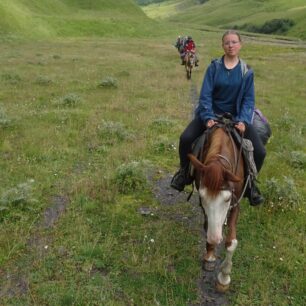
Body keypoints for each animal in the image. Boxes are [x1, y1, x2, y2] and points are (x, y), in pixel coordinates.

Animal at [188, 124, 245, 292]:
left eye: (227, 199)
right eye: (202, 196)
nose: (215, 238)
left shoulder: (235, 203)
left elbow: (231, 243)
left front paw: (224, 278)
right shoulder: (204, 207)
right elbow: (207, 226)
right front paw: (210, 256)